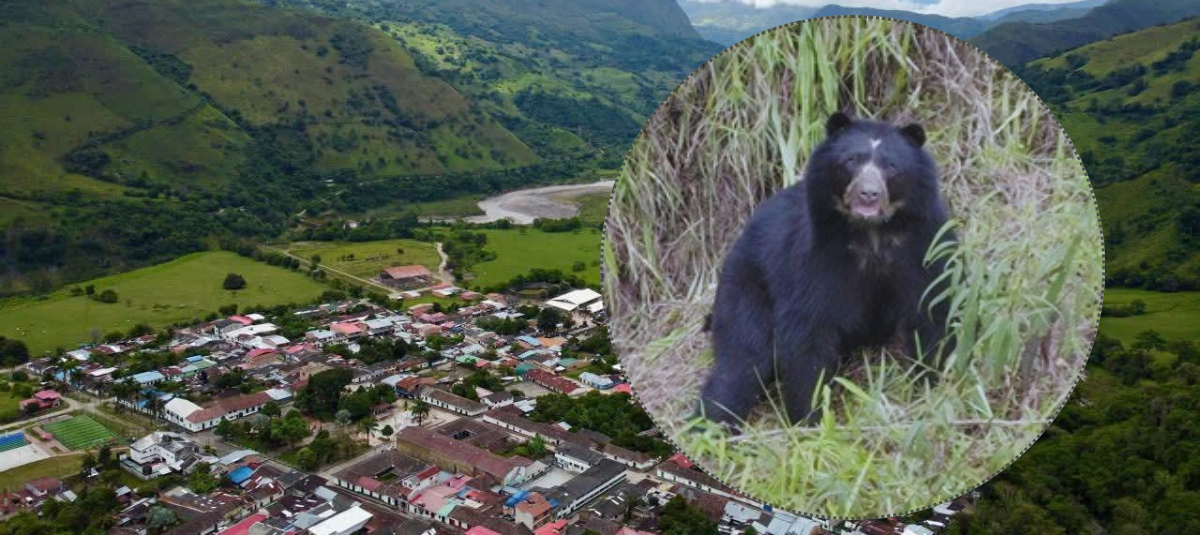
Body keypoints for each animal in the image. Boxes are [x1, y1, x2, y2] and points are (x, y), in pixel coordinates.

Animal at [696, 111, 955, 431]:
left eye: (891, 166)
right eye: (851, 160)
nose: (868, 195)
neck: (872, 235)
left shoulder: (924, 246)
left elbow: (931, 310)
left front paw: (928, 385)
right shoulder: (816, 257)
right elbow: (809, 332)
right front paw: (810, 417)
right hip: (747, 286)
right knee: (742, 360)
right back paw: (710, 425)